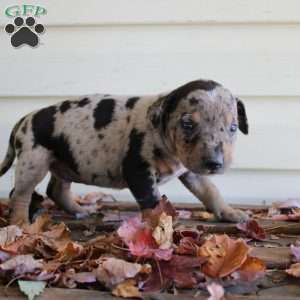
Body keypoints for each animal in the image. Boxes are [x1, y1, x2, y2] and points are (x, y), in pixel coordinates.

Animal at [0, 78, 248, 224]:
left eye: (233, 127)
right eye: (188, 124)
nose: (214, 163)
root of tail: (24, 119)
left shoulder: (191, 171)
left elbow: (210, 191)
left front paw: (229, 212)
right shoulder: (139, 171)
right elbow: (153, 204)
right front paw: (160, 232)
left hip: (65, 161)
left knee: (55, 190)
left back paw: (79, 210)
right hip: (33, 162)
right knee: (19, 195)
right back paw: (20, 223)